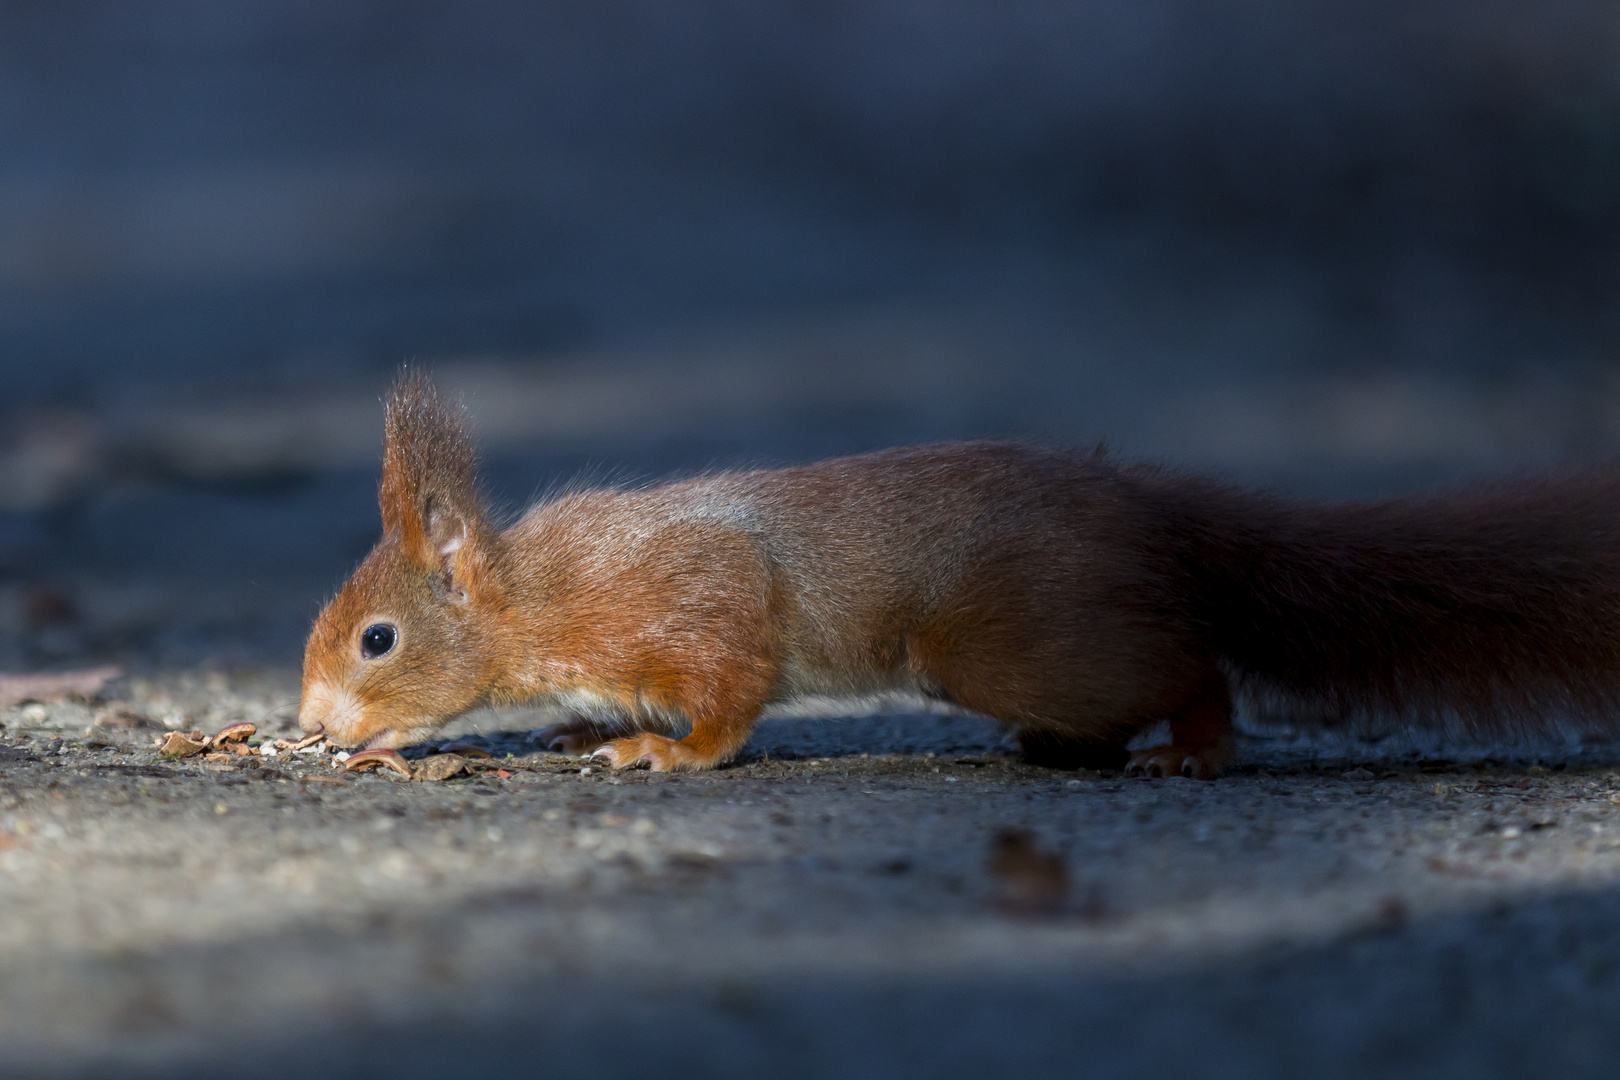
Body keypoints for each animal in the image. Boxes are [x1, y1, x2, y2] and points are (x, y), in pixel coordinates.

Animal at [298, 378, 1620, 777]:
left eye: (377, 639)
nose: (311, 723)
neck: (539, 598)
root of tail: (1148, 510)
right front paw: (580, 732)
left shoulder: (690, 597)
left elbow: (730, 687)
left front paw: (663, 755)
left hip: (1013, 639)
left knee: (1190, 665)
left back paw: (1191, 747)